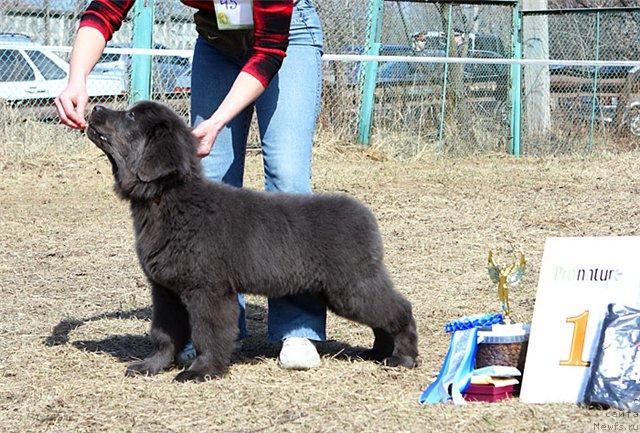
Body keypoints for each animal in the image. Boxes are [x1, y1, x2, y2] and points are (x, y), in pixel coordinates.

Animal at [87, 101, 420, 382]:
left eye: (131, 116)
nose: (96, 107)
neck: (168, 200)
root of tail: (365, 216)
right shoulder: (165, 290)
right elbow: (164, 334)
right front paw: (151, 366)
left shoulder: (208, 290)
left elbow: (208, 333)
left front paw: (201, 371)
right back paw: (378, 352)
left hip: (351, 286)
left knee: (399, 309)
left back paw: (403, 357)